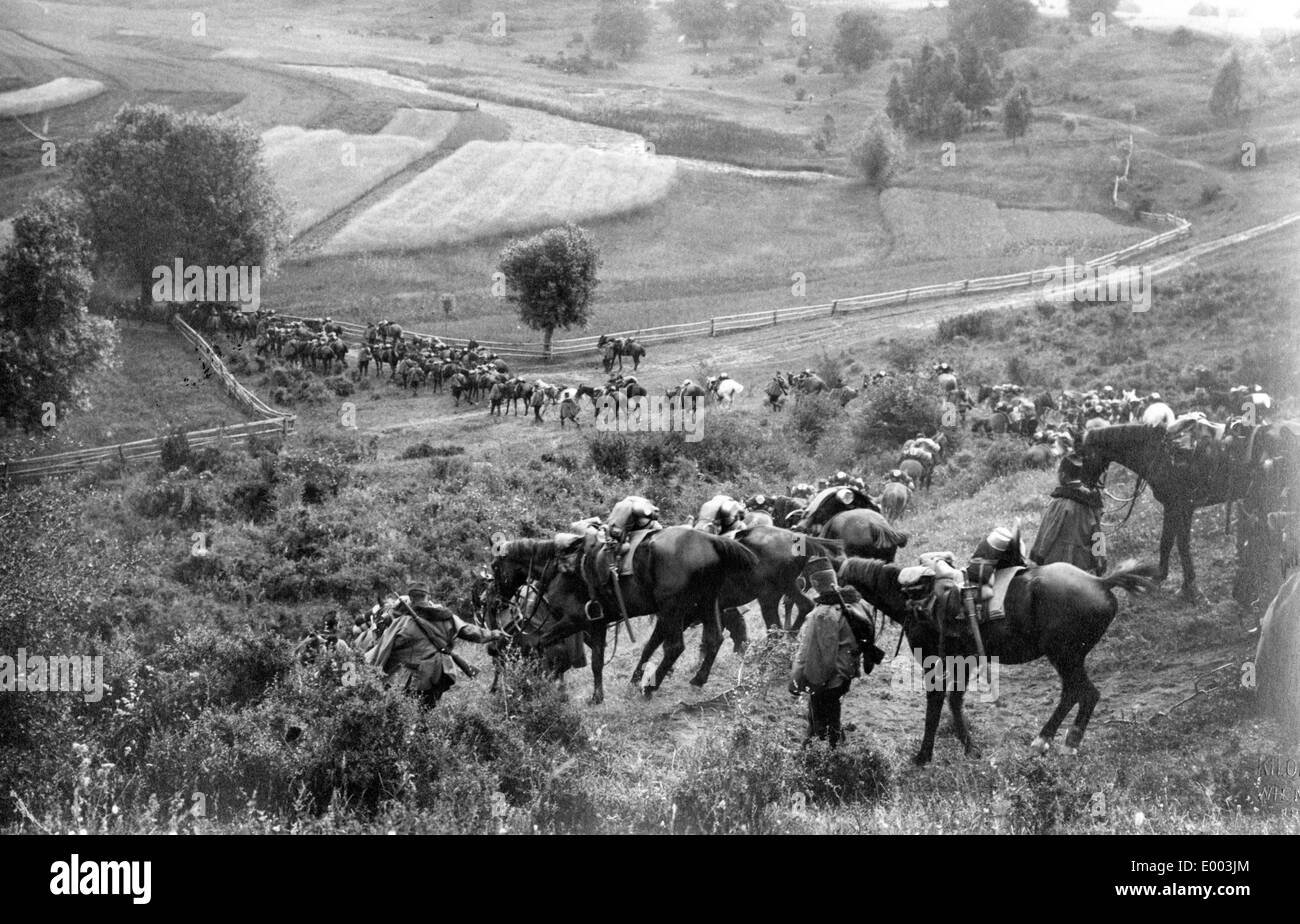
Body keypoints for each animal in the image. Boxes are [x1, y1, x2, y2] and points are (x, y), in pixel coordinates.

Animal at [837, 556, 1154, 764]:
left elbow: (937, 702)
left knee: (1083, 692)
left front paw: (924, 755)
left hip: (1065, 655)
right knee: (1078, 693)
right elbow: (954, 700)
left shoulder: (934, 660)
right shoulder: (963, 660)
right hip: (1069, 657)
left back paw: (1053, 742)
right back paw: (1057, 742)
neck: (912, 597)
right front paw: (969, 749)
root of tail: (1100, 581)